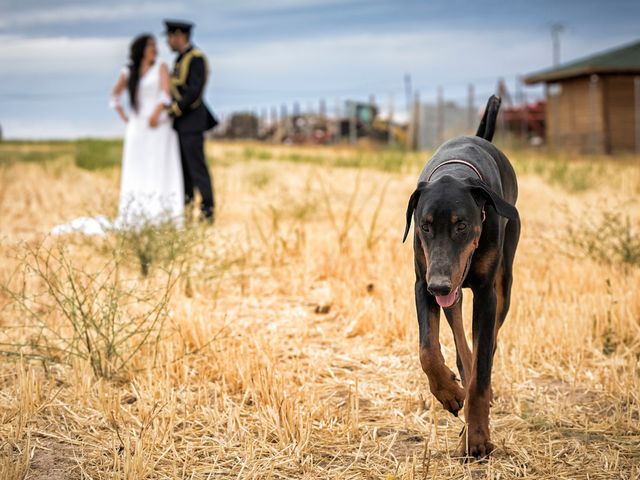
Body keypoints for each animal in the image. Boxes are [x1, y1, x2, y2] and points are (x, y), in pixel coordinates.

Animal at [404, 95, 520, 460]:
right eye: (425, 226)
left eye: (462, 225)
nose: (440, 284)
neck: (456, 173)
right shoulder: (421, 282)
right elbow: (428, 349)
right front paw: (449, 392)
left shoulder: (485, 293)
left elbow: (482, 371)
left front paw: (477, 436)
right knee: (457, 332)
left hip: (503, 283)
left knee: (489, 341)